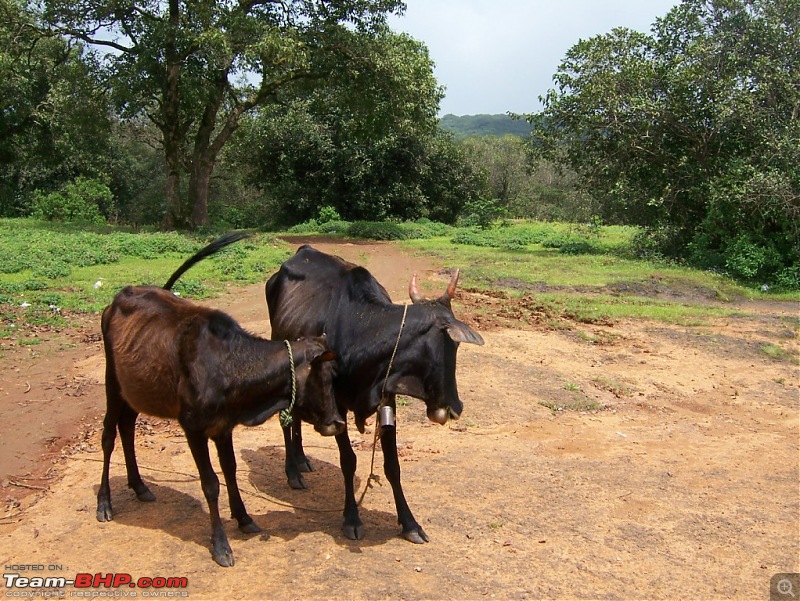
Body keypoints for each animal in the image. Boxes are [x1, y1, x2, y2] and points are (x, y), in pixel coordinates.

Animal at [266, 245, 484, 544]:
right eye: (454, 346)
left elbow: (392, 464)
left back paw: (300, 459)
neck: (361, 328)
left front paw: (410, 523)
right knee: (285, 417)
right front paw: (351, 519)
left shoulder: (387, 398)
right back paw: (291, 471)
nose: (456, 407)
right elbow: (348, 461)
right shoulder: (336, 403)